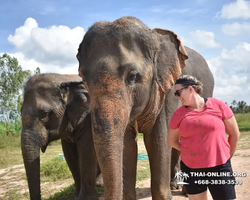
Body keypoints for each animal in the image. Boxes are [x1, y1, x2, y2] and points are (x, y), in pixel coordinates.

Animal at [76, 16, 213, 199]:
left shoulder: (168, 92)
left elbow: (158, 140)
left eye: (133, 76)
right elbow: (127, 144)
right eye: (83, 79)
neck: (154, 36)